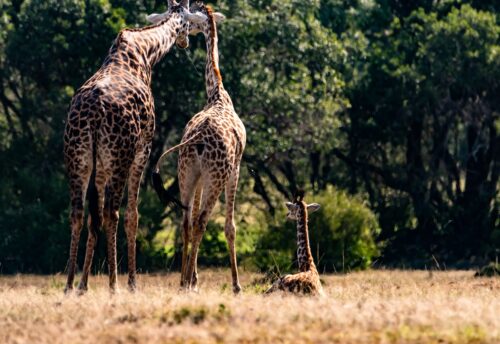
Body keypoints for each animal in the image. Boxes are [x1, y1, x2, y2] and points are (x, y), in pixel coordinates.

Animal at [62, 0, 207, 294]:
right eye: (190, 23)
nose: (185, 42)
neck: (146, 53)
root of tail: (94, 114)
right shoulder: (144, 149)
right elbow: (133, 215)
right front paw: (131, 282)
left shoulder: (100, 164)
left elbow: (93, 218)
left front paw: (84, 284)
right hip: (120, 157)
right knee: (112, 213)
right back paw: (115, 284)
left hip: (78, 158)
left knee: (78, 213)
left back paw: (70, 285)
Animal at [151, 2, 247, 292]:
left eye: (190, 23)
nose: (182, 43)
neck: (217, 94)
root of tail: (197, 141)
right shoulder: (235, 169)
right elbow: (230, 227)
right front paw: (236, 285)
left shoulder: (199, 176)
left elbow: (190, 219)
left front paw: (191, 277)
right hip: (216, 176)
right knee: (202, 220)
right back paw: (193, 283)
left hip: (187, 172)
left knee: (186, 220)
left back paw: (184, 282)